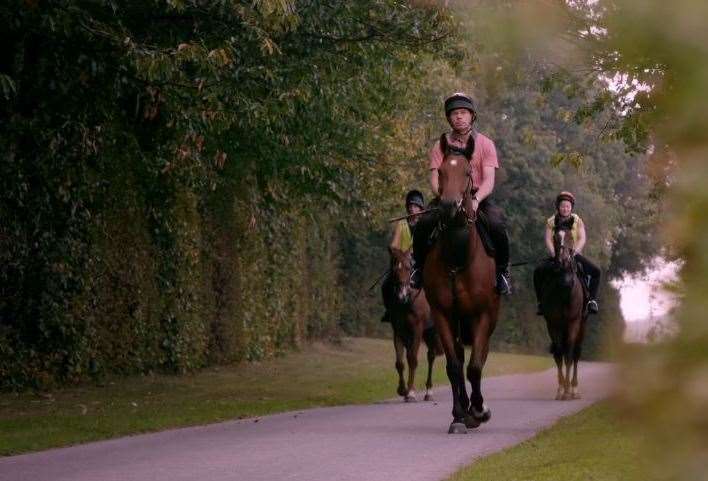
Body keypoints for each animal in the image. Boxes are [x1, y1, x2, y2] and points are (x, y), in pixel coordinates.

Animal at [384, 248, 440, 402]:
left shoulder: (417, 330)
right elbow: (400, 362)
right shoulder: (398, 331)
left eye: (409, 268)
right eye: (393, 269)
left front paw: (411, 392)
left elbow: (413, 359)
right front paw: (402, 390)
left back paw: (429, 391)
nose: (401, 294)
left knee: (431, 356)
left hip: (432, 331)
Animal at [424, 148, 500, 434]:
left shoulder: (483, 315)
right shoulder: (442, 314)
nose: (448, 206)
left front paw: (480, 411)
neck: (458, 258)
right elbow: (455, 366)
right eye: (441, 171)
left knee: (479, 357)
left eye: (468, 172)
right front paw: (459, 416)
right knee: (457, 356)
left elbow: (475, 366)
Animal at [540, 229, 588, 398]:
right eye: (555, 237)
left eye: (571, 237)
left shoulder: (573, 323)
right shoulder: (553, 324)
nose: (563, 260)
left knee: (576, 353)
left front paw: (568, 390)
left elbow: (568, 354)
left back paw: (574, 388)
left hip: (582, 326)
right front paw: (561, 389)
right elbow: (559, 352)